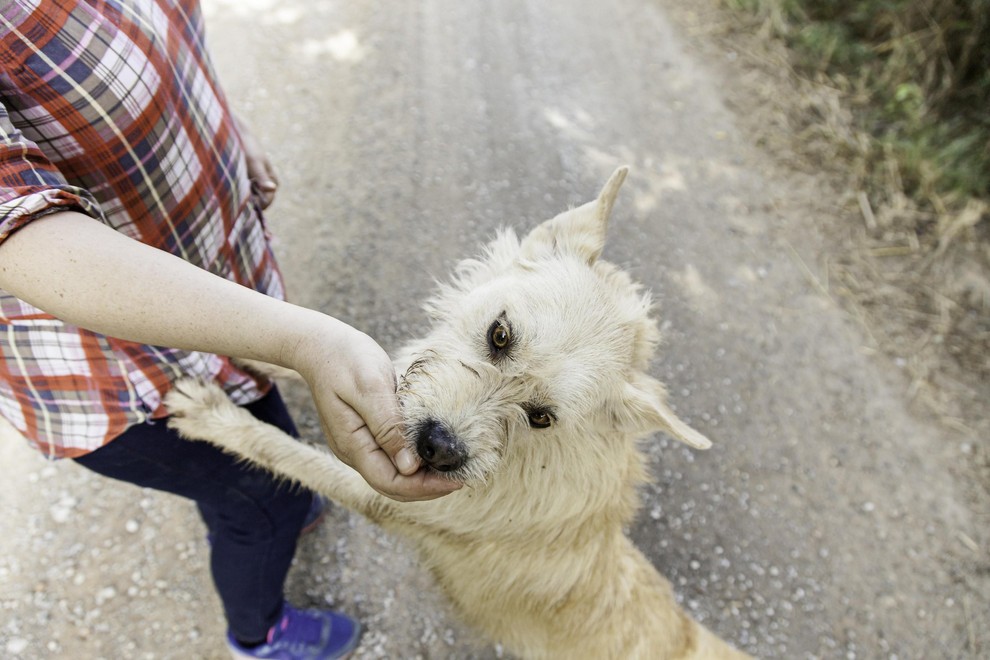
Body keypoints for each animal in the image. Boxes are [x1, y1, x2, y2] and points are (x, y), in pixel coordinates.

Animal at [165, 168, 752, 656]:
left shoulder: (379, 492)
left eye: (542, 417)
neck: (529, 458)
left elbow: (283, 451)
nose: (440, 450)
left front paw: (213, 416)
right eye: (500, 334)